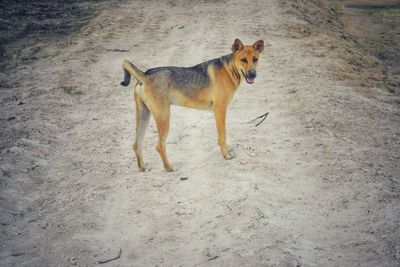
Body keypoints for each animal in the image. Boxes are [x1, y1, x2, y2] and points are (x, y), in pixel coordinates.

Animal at [120, 38, 264, 173]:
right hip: (163, 117)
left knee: (136, 144)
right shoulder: (220, 109)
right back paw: (169, 167)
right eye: (243, 60)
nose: (253, 74)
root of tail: (144, 75)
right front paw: (225, 154)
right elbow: (222, 136)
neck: (229, 69)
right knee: (159, 146)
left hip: (144, 115)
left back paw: (142, 168)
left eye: (255, 59)